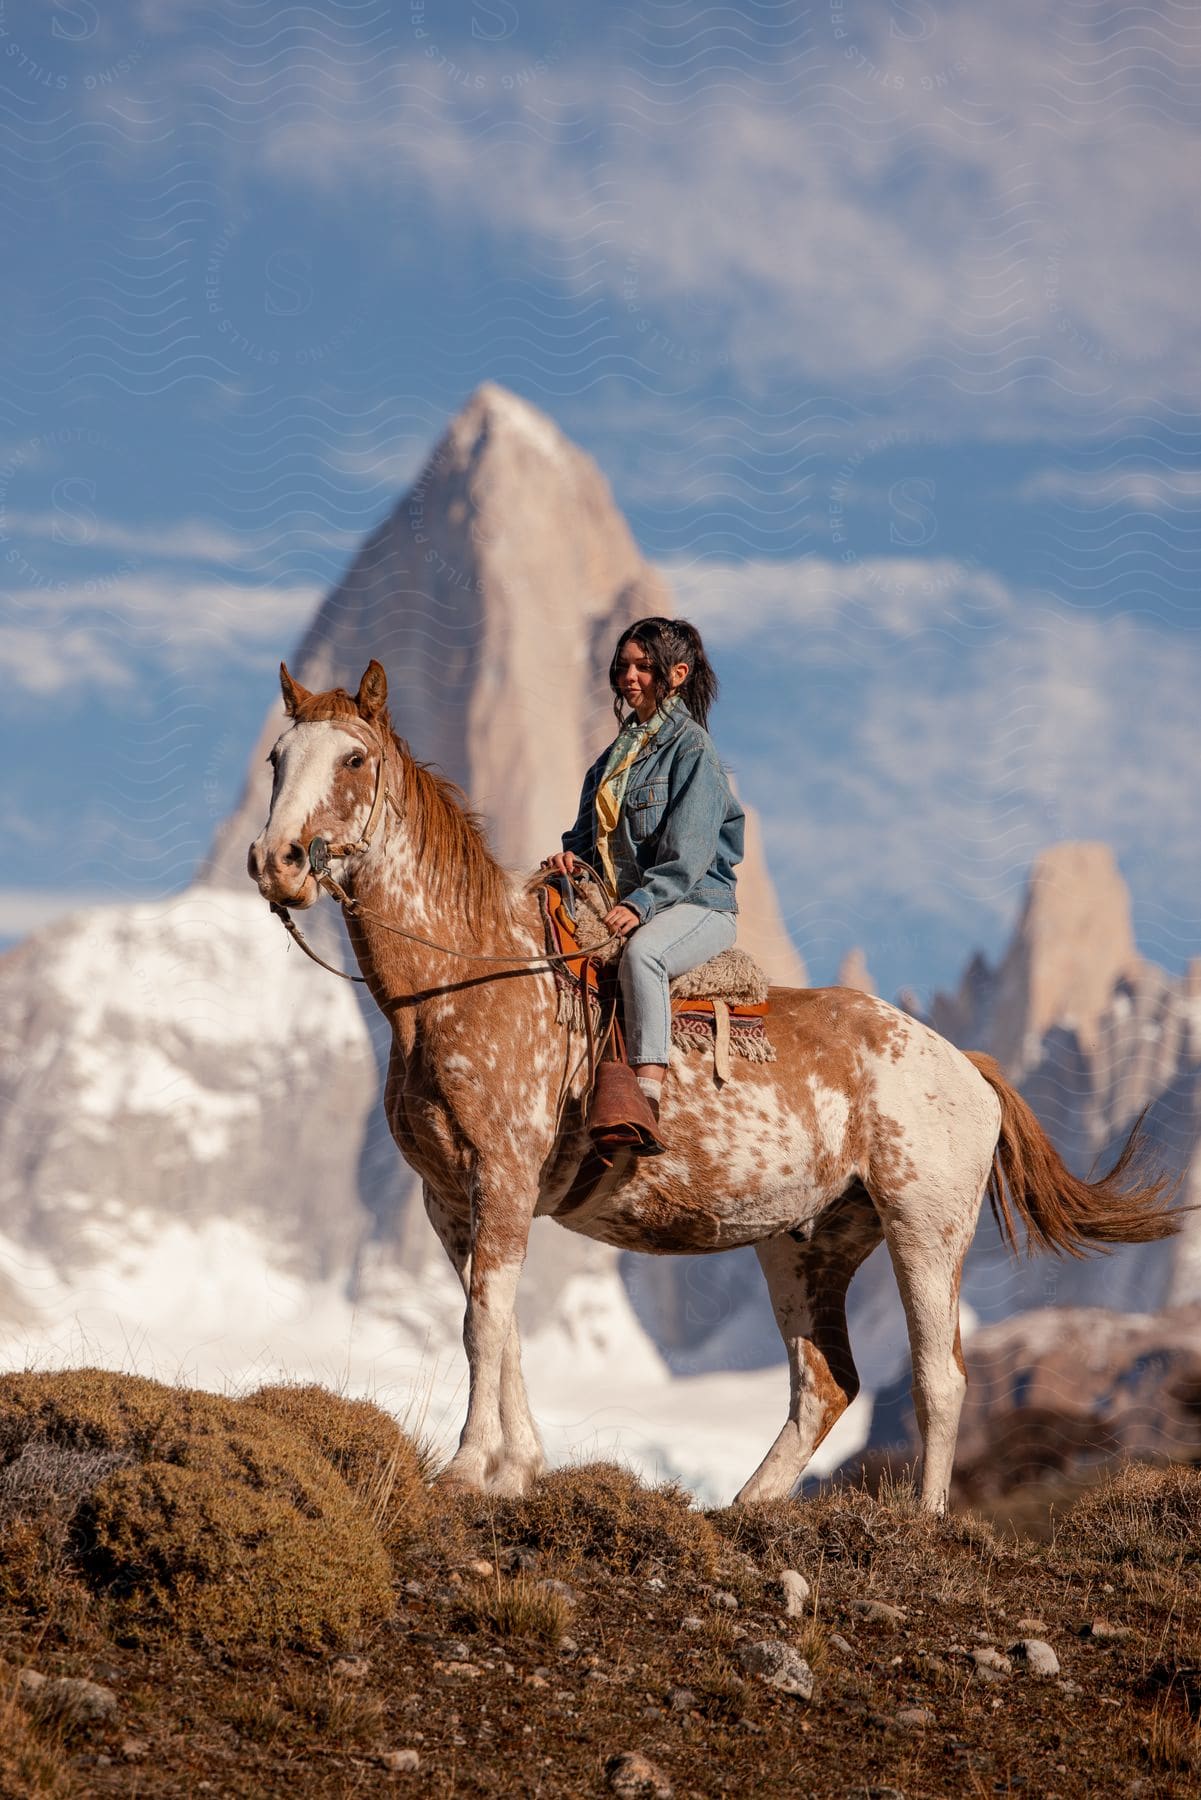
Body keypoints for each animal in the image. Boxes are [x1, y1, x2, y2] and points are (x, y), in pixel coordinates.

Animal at [248, 655, 1181, 1512]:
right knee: (825, 1384)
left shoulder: (502, 1176)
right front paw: (514, 1471)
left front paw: (467, 1469)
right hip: (804, 1244)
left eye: (354, 758)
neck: (465, 984)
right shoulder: (450, 1196)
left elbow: (483, 1322)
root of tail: (967, 1067)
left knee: (937, 1376)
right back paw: (745, 1508)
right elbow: (499, 1323)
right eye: (277, 757)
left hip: (925, 1227)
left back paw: (923, 1520)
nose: (276, 862)